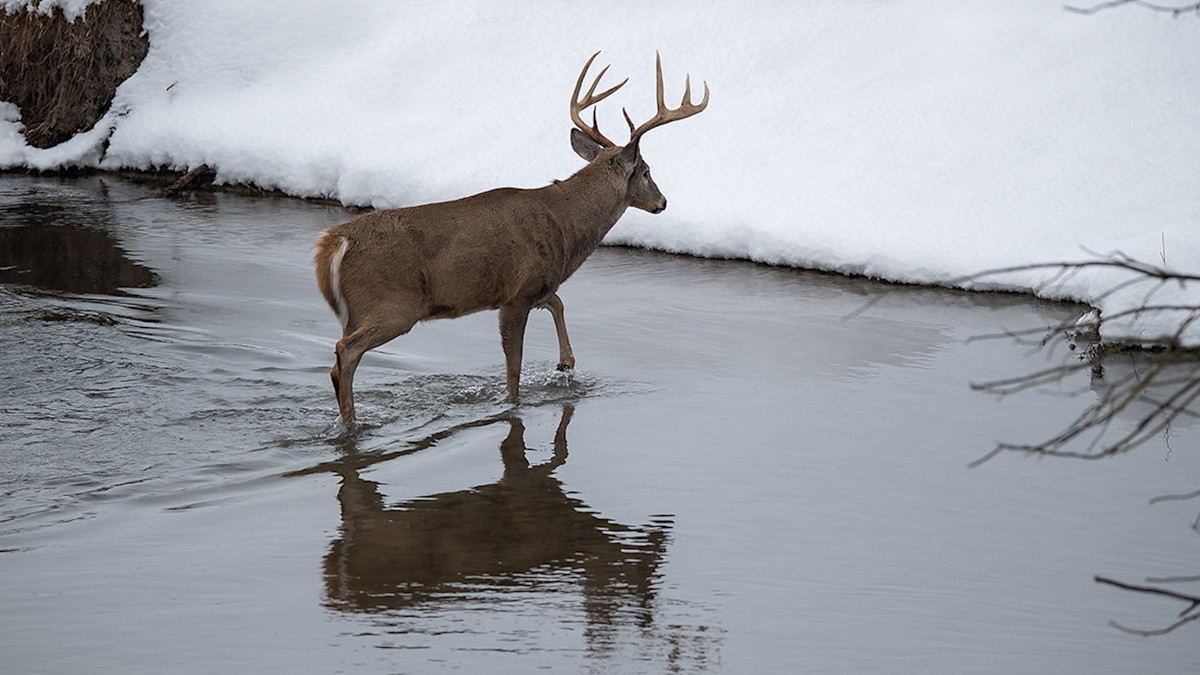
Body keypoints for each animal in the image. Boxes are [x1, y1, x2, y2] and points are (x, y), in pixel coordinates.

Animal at [314, 52, 709, 425]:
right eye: (647, 171)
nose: (662, 202)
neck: (564, 225)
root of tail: (334, 242)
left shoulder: (536, 285)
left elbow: (557, 302)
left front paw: (565, 363)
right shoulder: (516, 295)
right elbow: (514, 369)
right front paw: (521, 397)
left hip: (355, 312)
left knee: (339, 360)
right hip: (395, 304)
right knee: (345, 352)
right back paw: (351, 423)